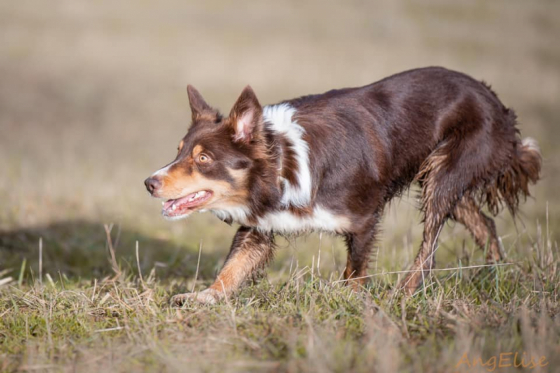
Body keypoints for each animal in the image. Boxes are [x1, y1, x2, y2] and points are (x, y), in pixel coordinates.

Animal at [144, 67, 544, 304]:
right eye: (179, 152)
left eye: (203, 159)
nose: (149, 183)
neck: (282, 161)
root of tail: (498, 104)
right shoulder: (260, 227)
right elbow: (232, 267)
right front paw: (204, 297)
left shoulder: (364, 220)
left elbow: (354, 271)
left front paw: (351, 304)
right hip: (438, 175)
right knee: (484, 224)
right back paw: (494, 274)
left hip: (446, 174)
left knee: (430, 245)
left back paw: (404, 294)